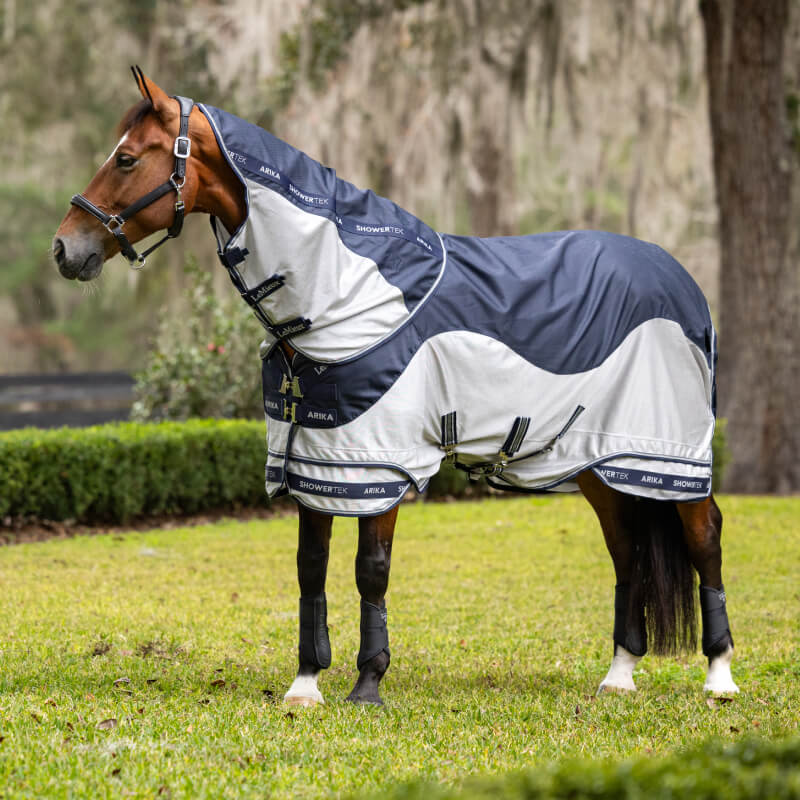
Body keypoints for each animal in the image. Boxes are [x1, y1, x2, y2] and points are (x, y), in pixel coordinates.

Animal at [53, 68, 738, 706]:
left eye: (126, 158)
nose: (65, 248)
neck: (348, 296)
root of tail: (681, 280)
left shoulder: (379, 465)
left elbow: (370, 571)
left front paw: (368, 682)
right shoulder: (317, 463)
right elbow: (310, 569)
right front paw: (306, 683)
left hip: (674, 458)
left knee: (704, 539)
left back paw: (720, 676)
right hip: (601, 462)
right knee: (628, 551)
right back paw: (619, 675)